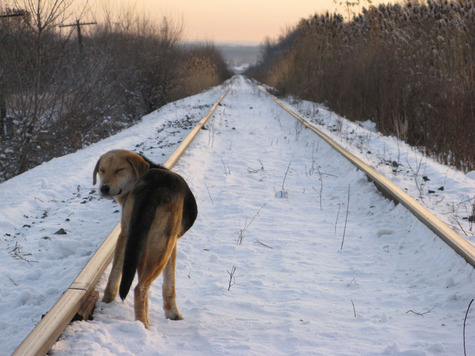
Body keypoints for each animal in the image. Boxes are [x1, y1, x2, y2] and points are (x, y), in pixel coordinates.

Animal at [93, 149, 197, 328]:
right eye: (102, 170)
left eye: (119, 169)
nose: (104, 188)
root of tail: (152, 187)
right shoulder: (172, 245)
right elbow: (169, 284)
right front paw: (173, 313)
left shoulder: (125, 235)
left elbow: (115, 275)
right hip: (161, 247)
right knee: (140, 288)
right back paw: (144, 326)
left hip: (131, 238)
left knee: (122, 283)